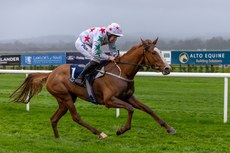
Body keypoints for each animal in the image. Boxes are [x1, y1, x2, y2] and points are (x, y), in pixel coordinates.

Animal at [9, 38, 175, 139]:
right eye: (153, 52)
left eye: (161, 52)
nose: (168, 68)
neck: (121, 72)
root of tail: (51, 73)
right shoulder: (109, 100)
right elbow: (130, 109)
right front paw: (121, 130)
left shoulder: (128, 97)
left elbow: (148, 109)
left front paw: (169, 128)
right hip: (65, 97)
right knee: (76, 117)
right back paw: (100, 133)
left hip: (65, 99)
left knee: (54, 118)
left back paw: (57, 139)